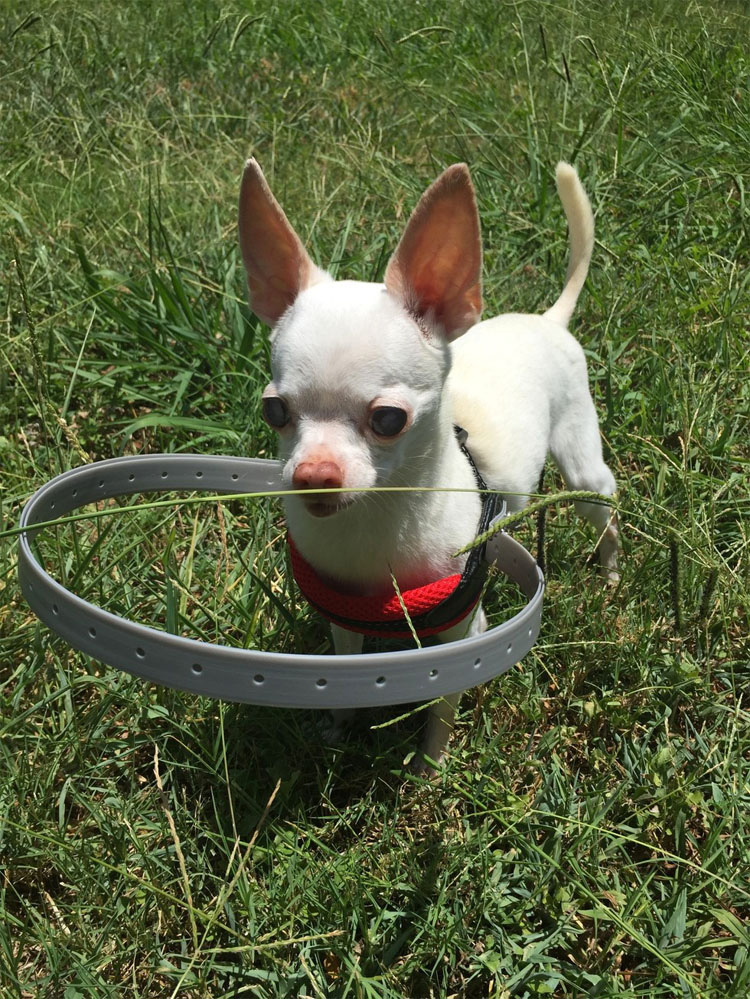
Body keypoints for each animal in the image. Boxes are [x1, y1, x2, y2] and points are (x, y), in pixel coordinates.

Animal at [238, 156, 620, 768]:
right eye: (274, 410)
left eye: (389, 420)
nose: (313, 475)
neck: (375, 524)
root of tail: (547, 320)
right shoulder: (344, 620)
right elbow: (343, 676)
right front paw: (337, 727)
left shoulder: (461, 632)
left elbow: (441, 705)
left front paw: (430, 765)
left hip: (583, 467)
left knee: (604, 510)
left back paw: (609, 570)